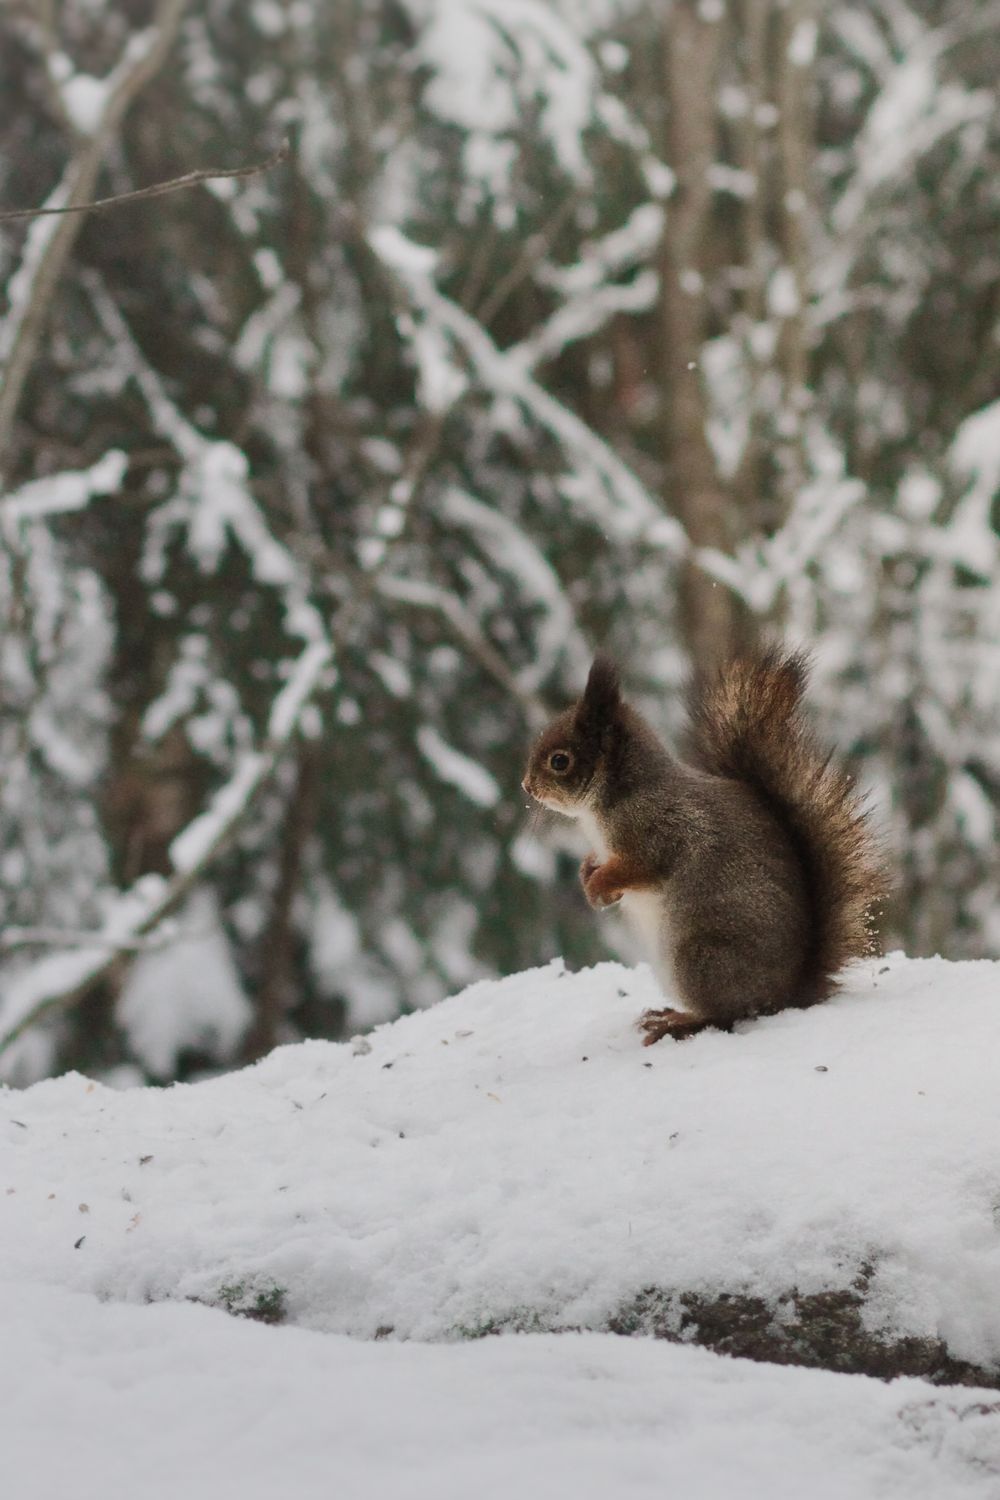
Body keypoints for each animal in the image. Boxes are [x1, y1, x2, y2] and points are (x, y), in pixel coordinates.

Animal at [522, 648, 888, 1043]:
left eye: (560, 761)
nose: (527, 786)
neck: (619, 794)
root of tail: (787, 993)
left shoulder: (660, 830)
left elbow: (640, 866)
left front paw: (600, 886)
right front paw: (588, 874)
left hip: (698, 957)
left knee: (726, 1014)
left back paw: (678, 1022)